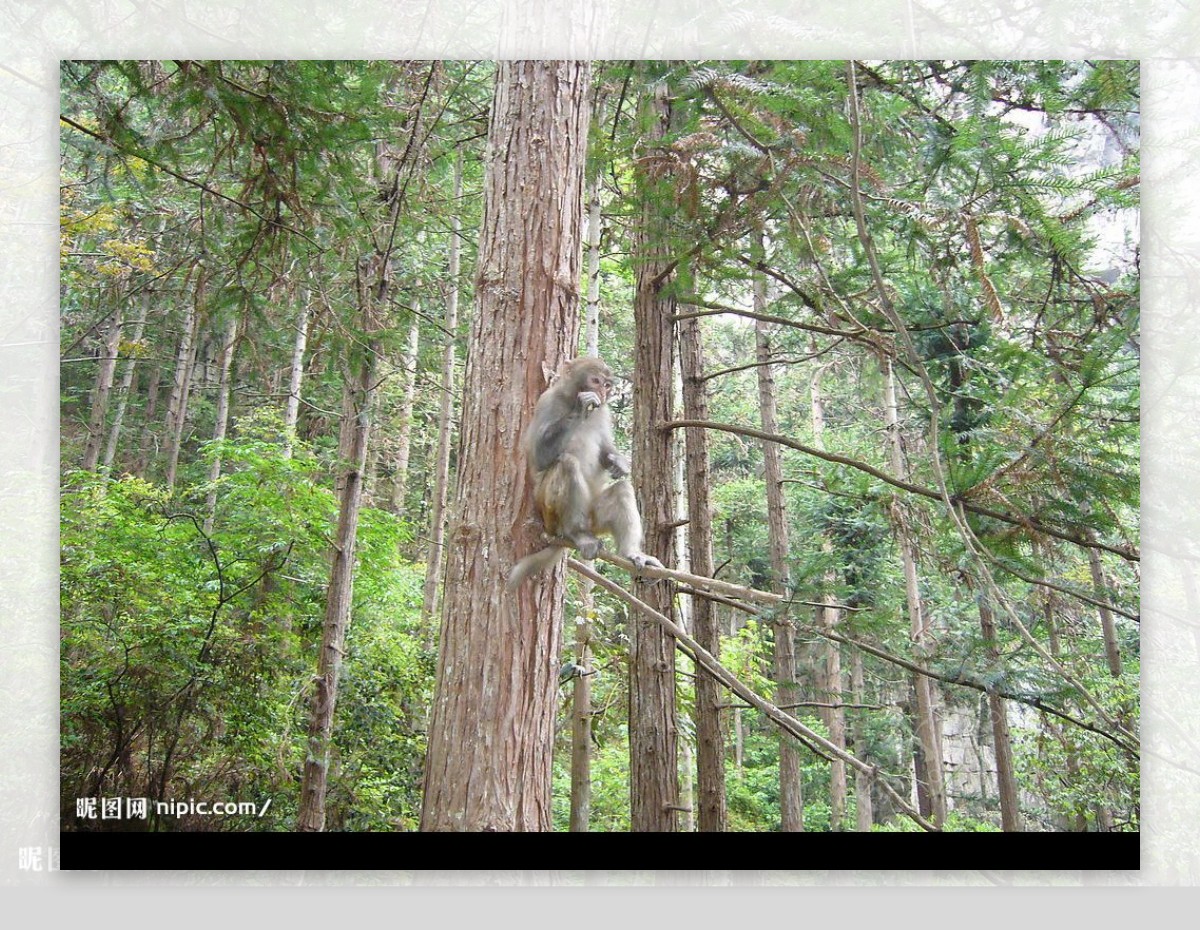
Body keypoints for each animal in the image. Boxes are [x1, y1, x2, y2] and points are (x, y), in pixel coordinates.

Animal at [506, 357, 667, 590]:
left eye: (607, 385)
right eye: (595, 381)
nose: (601, 392)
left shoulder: (604, 412)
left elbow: (606, 451)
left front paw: (618, 463)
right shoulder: (546, 401)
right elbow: (538, 457)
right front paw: (581, 406)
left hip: (594, 517)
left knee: (622, 489)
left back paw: (631, 553)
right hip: (550, 514)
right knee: (567, 464)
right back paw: (578, 534)